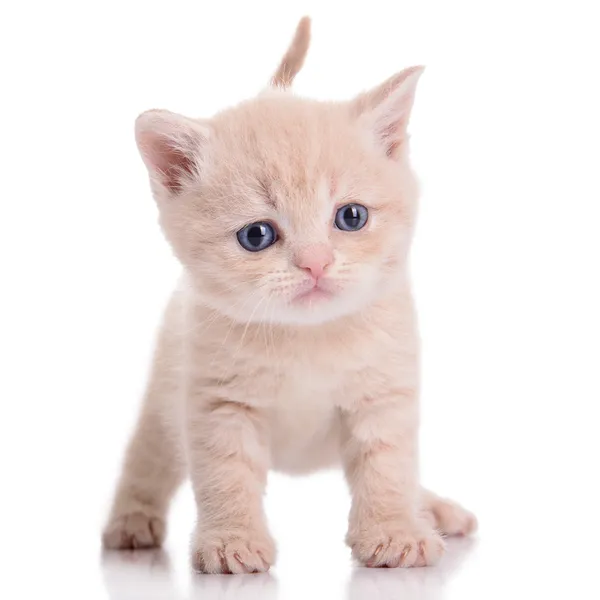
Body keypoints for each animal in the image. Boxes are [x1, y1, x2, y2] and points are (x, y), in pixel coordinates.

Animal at [104, 17, 478, 572]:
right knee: (147, 456)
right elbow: (225, 476)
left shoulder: (384, 394)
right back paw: (131, 521)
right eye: (256, 235)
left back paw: (432, 509)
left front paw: (394, 531)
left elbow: (388, 467)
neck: (308, 340)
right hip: (163, 394)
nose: (316, 262)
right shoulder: (218, 404)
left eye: (351, 216)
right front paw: (232, 541)